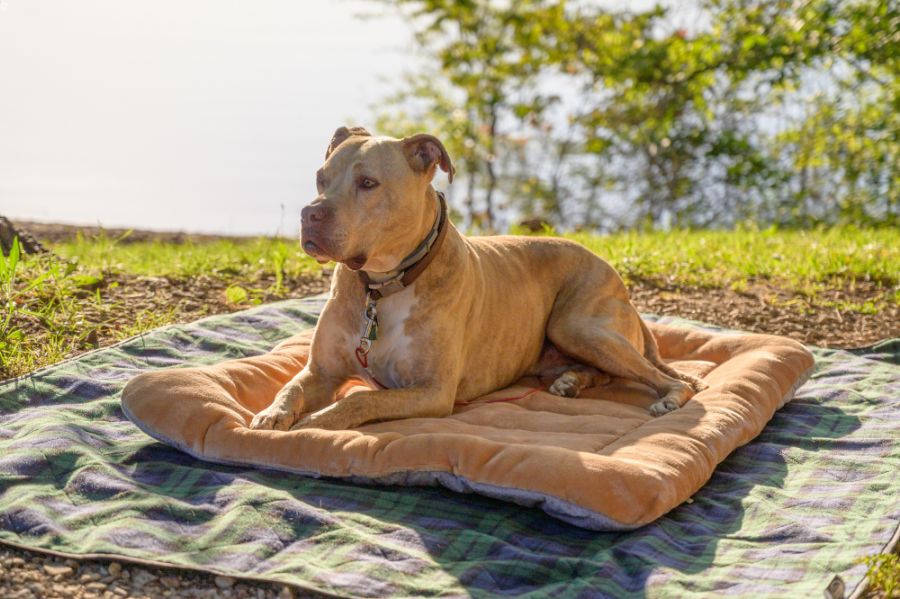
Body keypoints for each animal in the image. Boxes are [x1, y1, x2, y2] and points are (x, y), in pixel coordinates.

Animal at [250, 129, 708, 434]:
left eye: (368, 183)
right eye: (321, 179)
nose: (310, 214)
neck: (383, 286)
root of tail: (617, 279)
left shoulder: (433, 392)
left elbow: (363, 398)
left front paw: (317, 421)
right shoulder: (321, 371)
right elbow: (291, 389)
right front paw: (272, 413)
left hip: (577, 325)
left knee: (663, 379)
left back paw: (668, 397)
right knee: (606, 373)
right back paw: (570, 381)